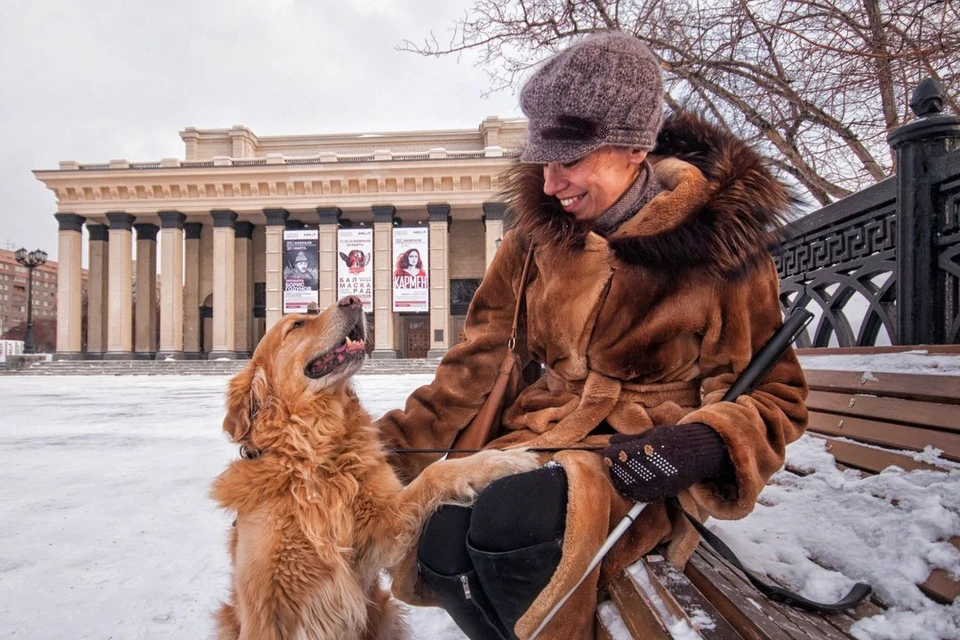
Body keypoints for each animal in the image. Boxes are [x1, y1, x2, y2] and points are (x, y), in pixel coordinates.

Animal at [212, 296, 540, 640]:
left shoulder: (376, 532)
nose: (353, 299)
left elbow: (433, 474)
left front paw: (499, 460)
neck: (313, 454)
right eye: (297, 324)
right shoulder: (266, 605)